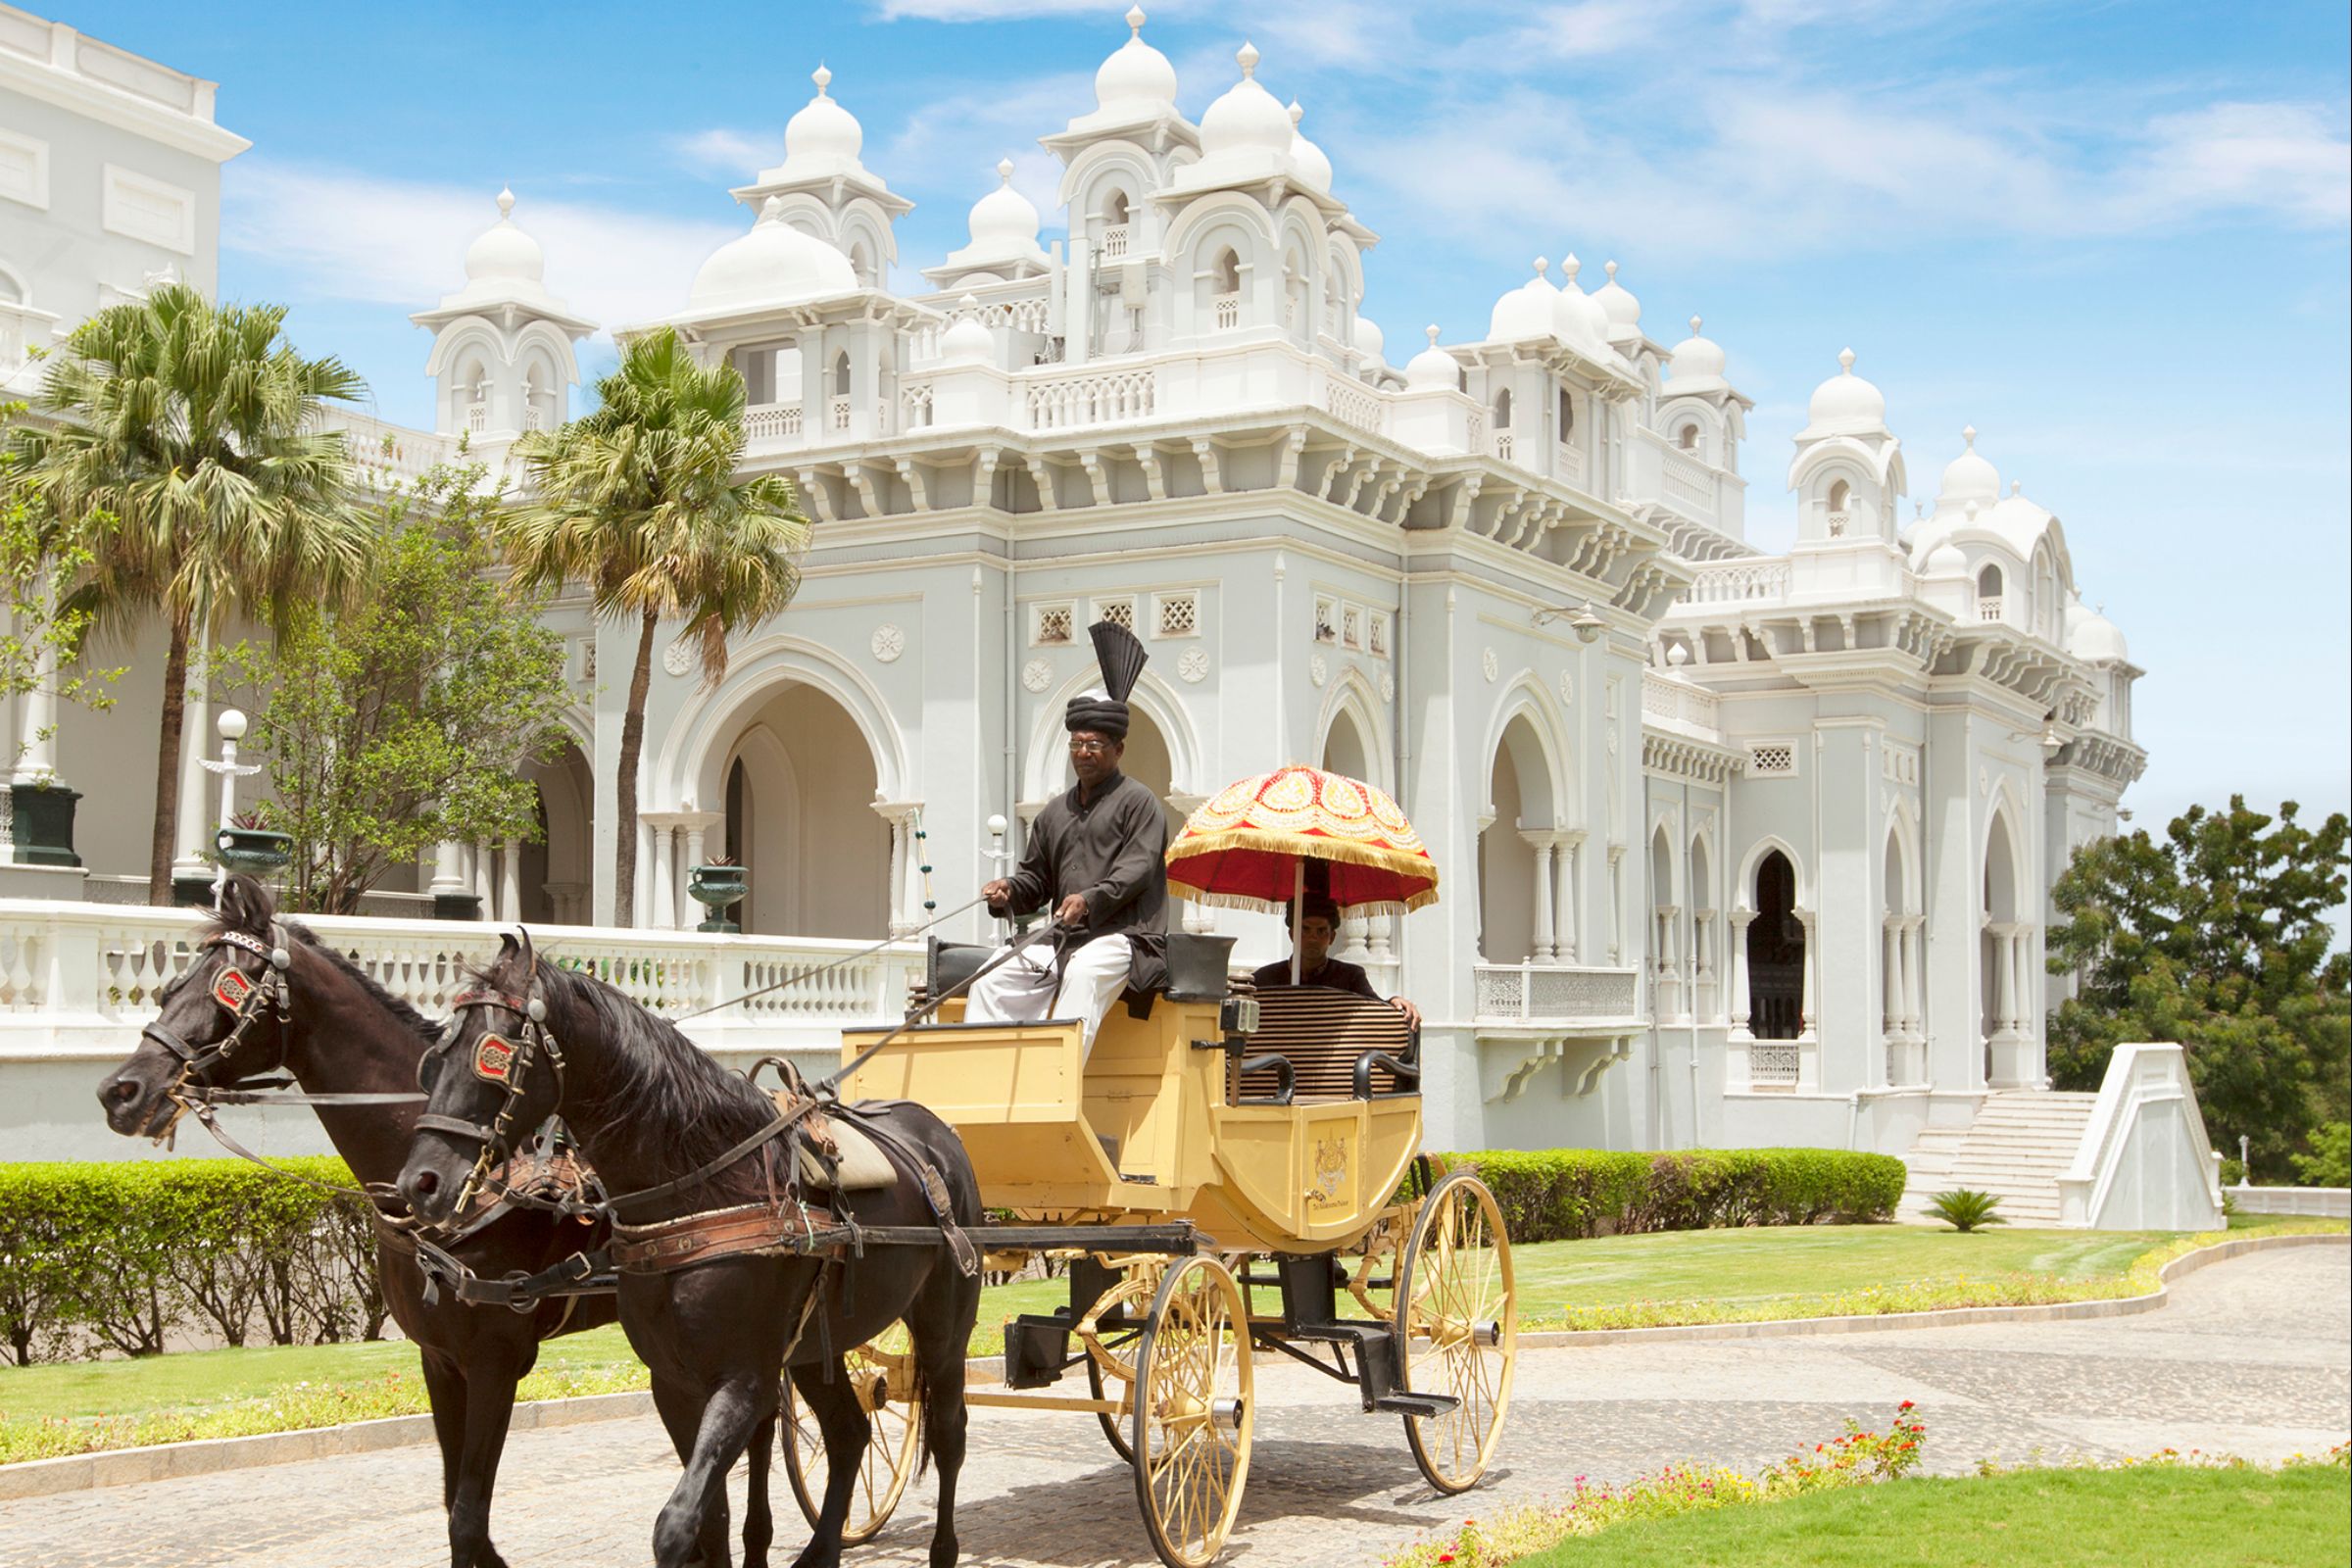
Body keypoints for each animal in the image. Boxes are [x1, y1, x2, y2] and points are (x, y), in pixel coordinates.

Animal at [97, 879, 620, 1568]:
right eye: (169, 986)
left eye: (226, 988)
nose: (120, 1091)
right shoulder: (441, 1360)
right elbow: (457, 1509)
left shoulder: (495, 1360)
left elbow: (467, 1519)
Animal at [400, 930, 978, 1568]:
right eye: (435, 1060)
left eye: (493, 1057)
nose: (420, 1183)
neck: (703, 1190)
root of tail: (936, 1131)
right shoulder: (673, 1382)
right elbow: (712, 1519)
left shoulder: (744, 1380)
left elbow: (677, 1524)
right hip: (810, 1350)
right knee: (849, 1432)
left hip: (944, 1326)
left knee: (949, 1433)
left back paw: (944, 1548)